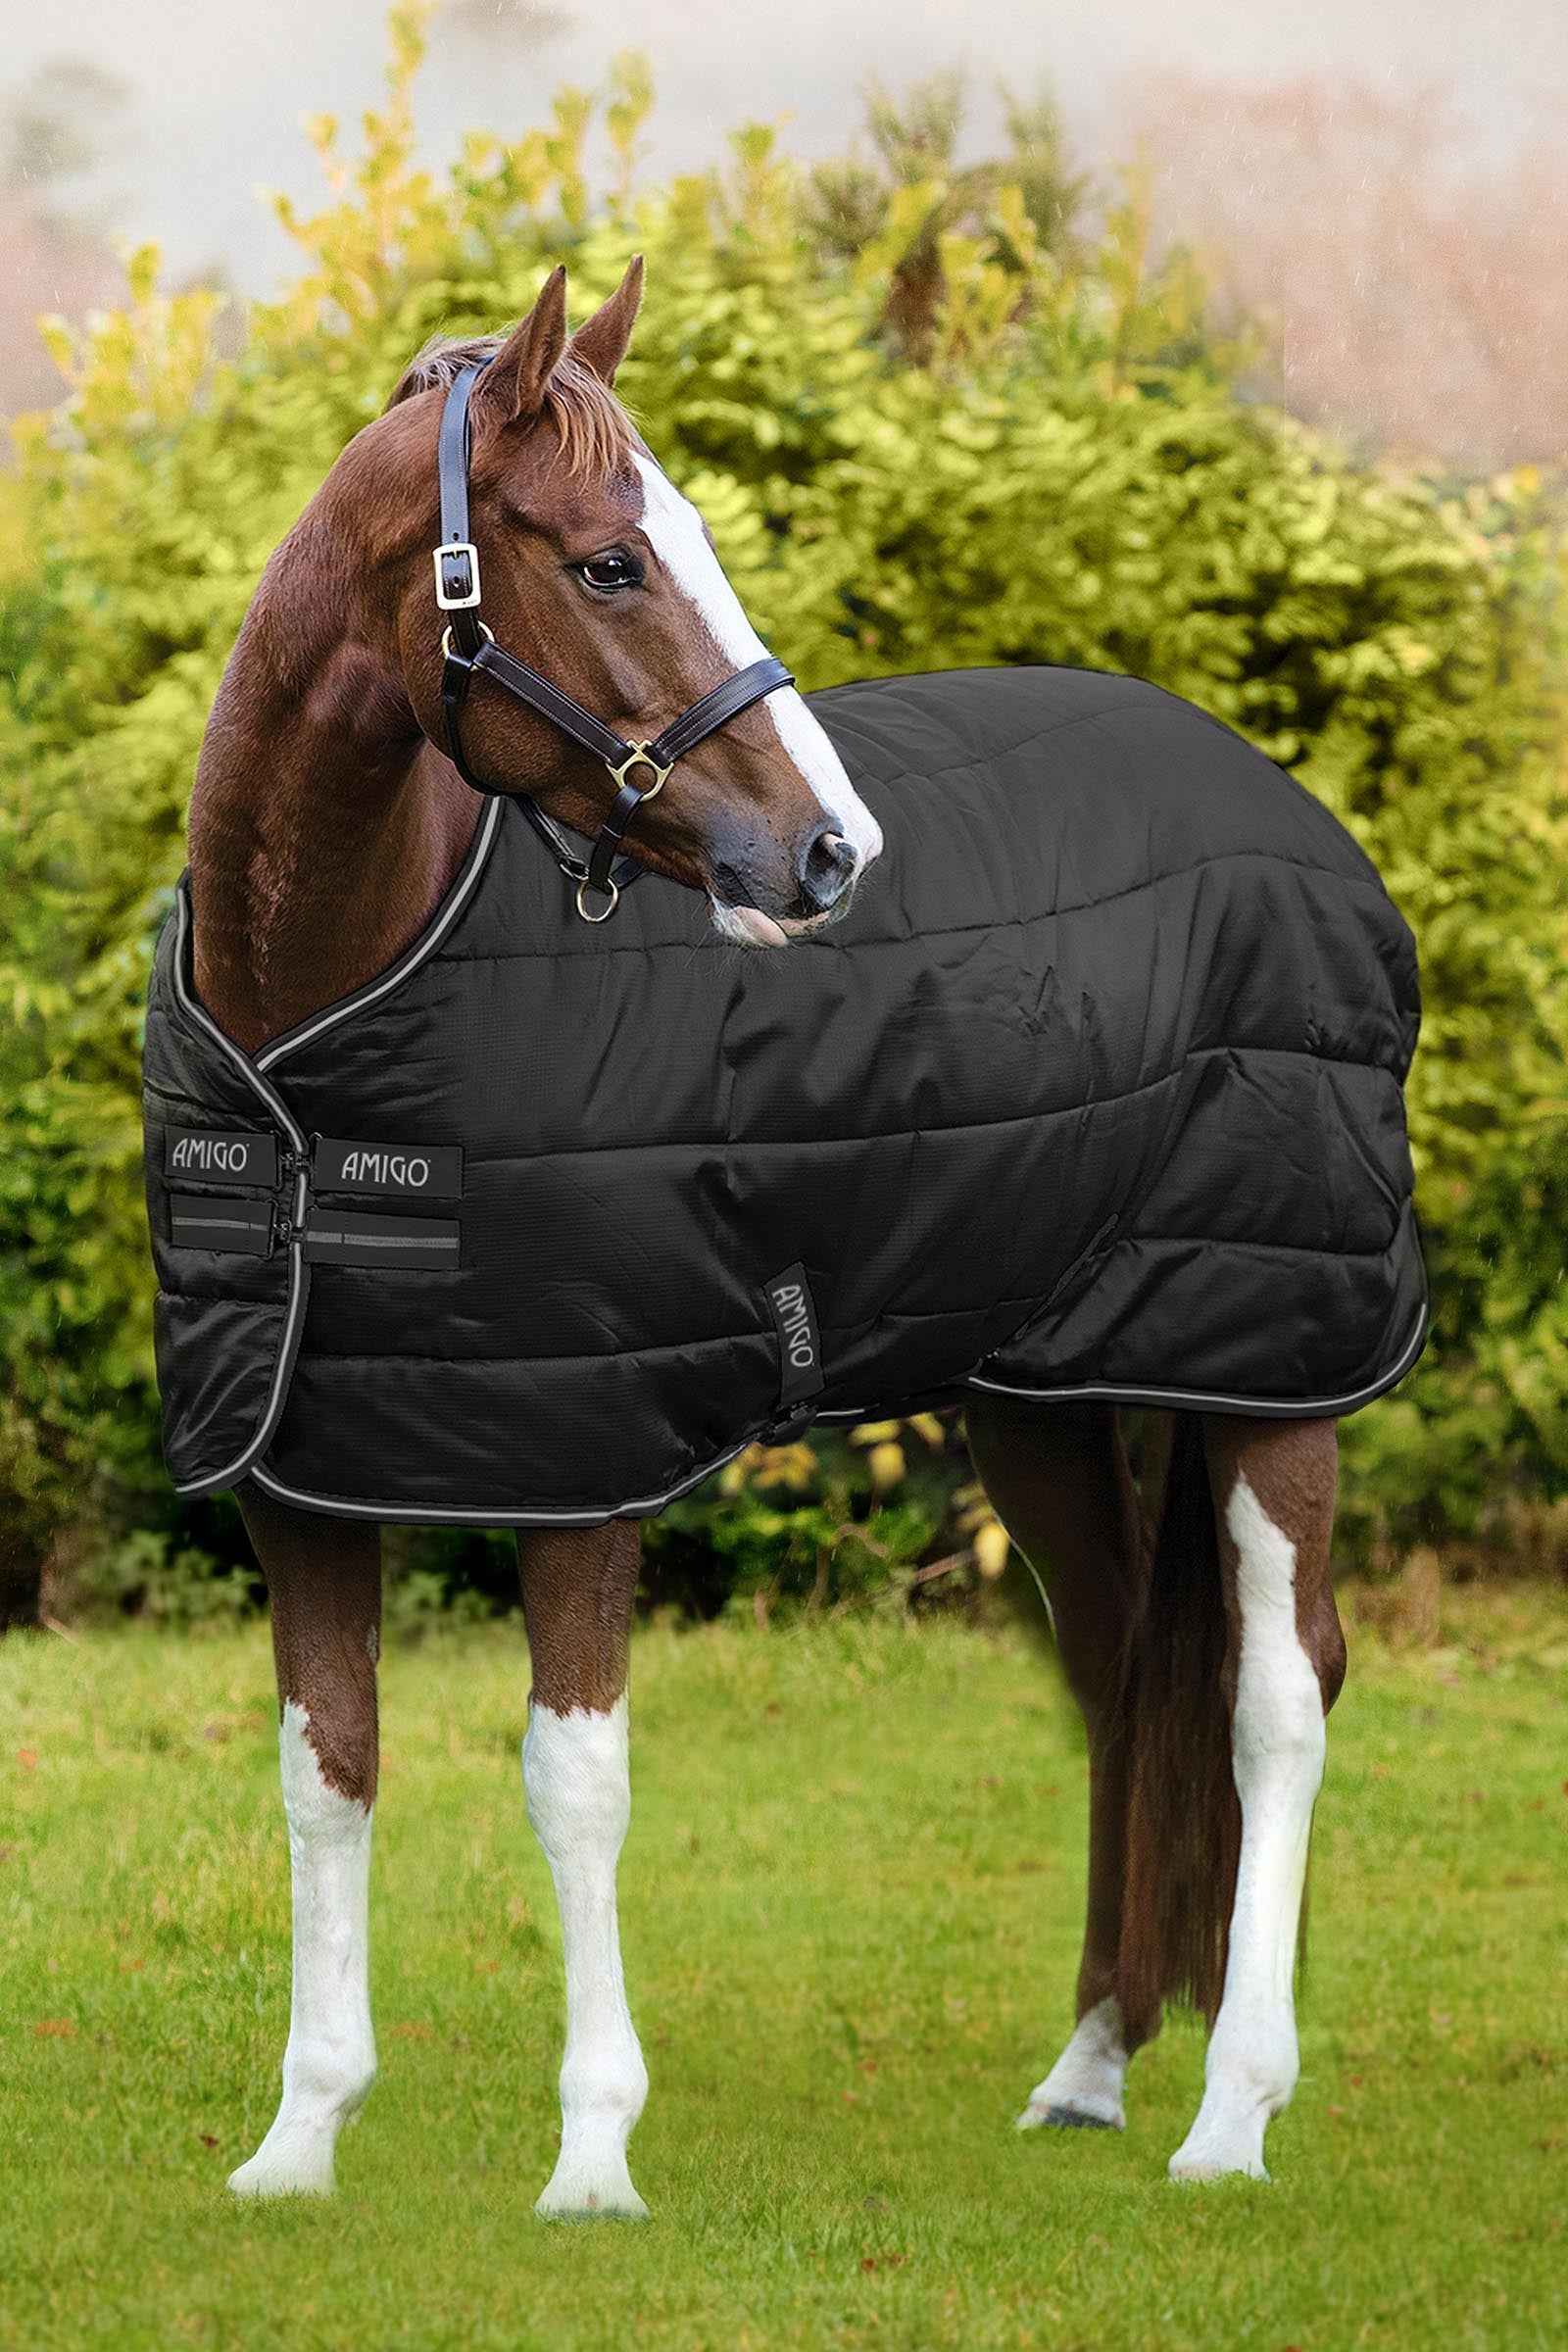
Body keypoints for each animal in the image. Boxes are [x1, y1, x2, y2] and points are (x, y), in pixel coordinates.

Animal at [175, 257, 1364, 2214]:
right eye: (607, 563)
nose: (829, 855)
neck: (316, 1044)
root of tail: (1286, 808)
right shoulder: (300, 1469)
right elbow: (324, 1769)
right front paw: (298, 2139)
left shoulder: (579, 1461)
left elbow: (573, 1782)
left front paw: (593, 2161)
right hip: (1038, 1394)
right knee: (1127, 1667)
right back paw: (1094, 2066)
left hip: (1278, 1367)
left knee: (1278, 1692)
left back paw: (1234, 2113)